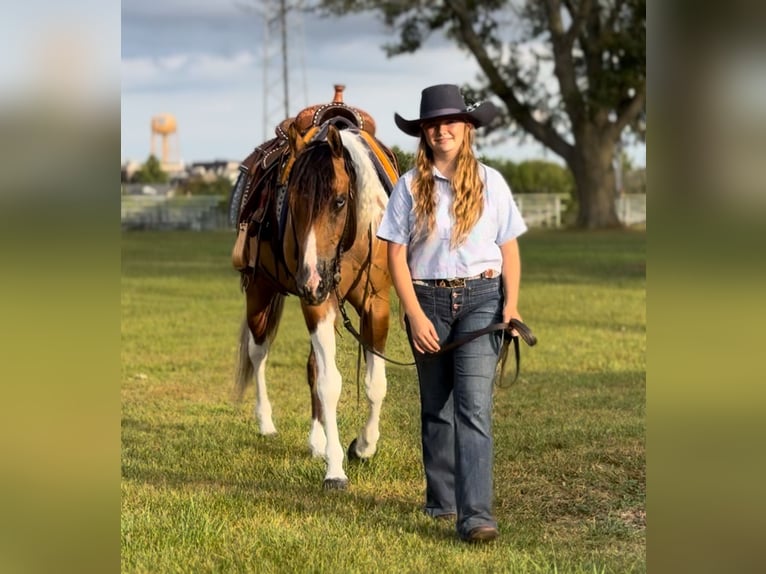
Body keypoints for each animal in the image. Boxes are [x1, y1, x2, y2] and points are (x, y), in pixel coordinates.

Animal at [231, 116, 398, 490]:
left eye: (338, 201)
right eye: (292, 200)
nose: (309, 279)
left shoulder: (376, 304)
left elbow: (375, 384)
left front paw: (363, 446)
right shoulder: (318, 305)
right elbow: (329, 384)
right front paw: (335, 469)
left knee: (311, 366)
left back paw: (317, 440)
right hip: (261, 293)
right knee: (258, 353)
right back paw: (266, 423)